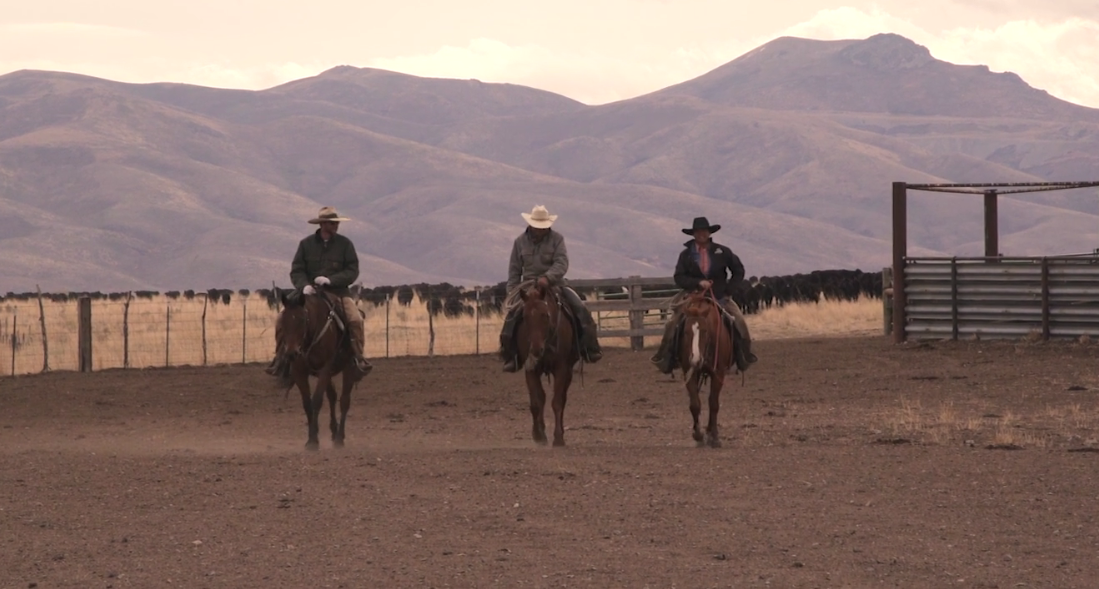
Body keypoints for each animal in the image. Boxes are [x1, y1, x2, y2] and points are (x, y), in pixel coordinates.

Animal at [274, 287, 369, 448]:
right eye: (283, 321)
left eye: (302, 320)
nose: (292, 353)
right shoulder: (299, 372)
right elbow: (307, 404)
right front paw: (311, 438)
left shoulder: (325, 368)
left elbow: (317, 400)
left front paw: (313, 441)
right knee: (333, 396)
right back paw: (334, 431)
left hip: (348, 367)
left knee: (344, 401)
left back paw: (339, 438)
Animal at [516, 283, 580, 446]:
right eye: (524, 317)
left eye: (545, 315)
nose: (536, 349)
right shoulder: (530, 369)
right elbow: (536, 402)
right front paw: (538, 435)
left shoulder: (561, 369)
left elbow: (557, 402)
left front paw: (558, 438)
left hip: (569, 372)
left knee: (562, 399)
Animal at [672, 292, 734, 448]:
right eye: (686, 332)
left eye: (705, 331)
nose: (695, 359)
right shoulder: (689, 371)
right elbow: (695, 403)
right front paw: (698, 434)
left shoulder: (719, 374)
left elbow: (713, 403)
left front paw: (714, 437)